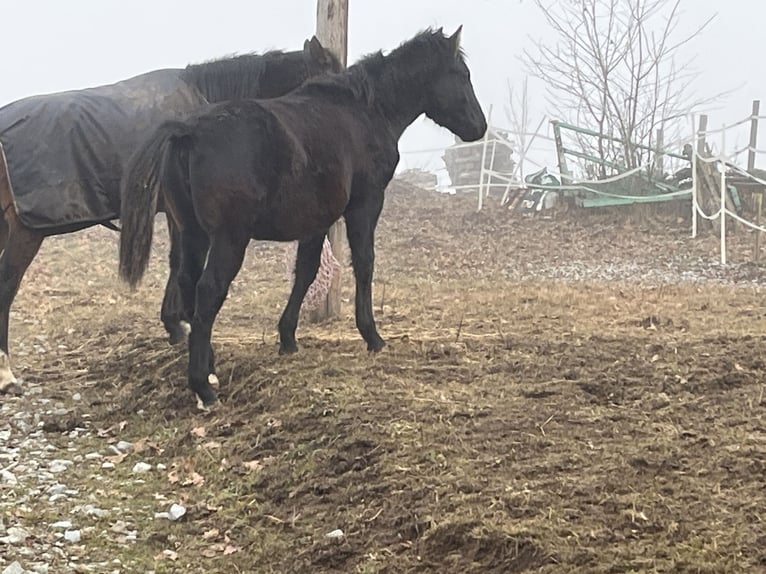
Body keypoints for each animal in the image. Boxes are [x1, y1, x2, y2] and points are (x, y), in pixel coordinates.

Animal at [0, 37, 340, 393]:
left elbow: (177, 265)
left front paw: (175, 326)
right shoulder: (186, 219)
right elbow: (180, 267)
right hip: (25, 232)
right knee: (6, 285)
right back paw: (6, 373)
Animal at [118, 26, 487, 406]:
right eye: (461, 74)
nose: (480, 127)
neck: (364, 110)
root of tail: (188, 130)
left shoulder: (317, 219)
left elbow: (306, 271)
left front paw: (287, 338)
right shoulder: (365, 205)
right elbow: (364, 264)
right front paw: (372, 335)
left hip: (192, 234)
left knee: (188, 285)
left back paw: (209, 365)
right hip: (228, 239)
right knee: (208, 292)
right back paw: (203, 386)